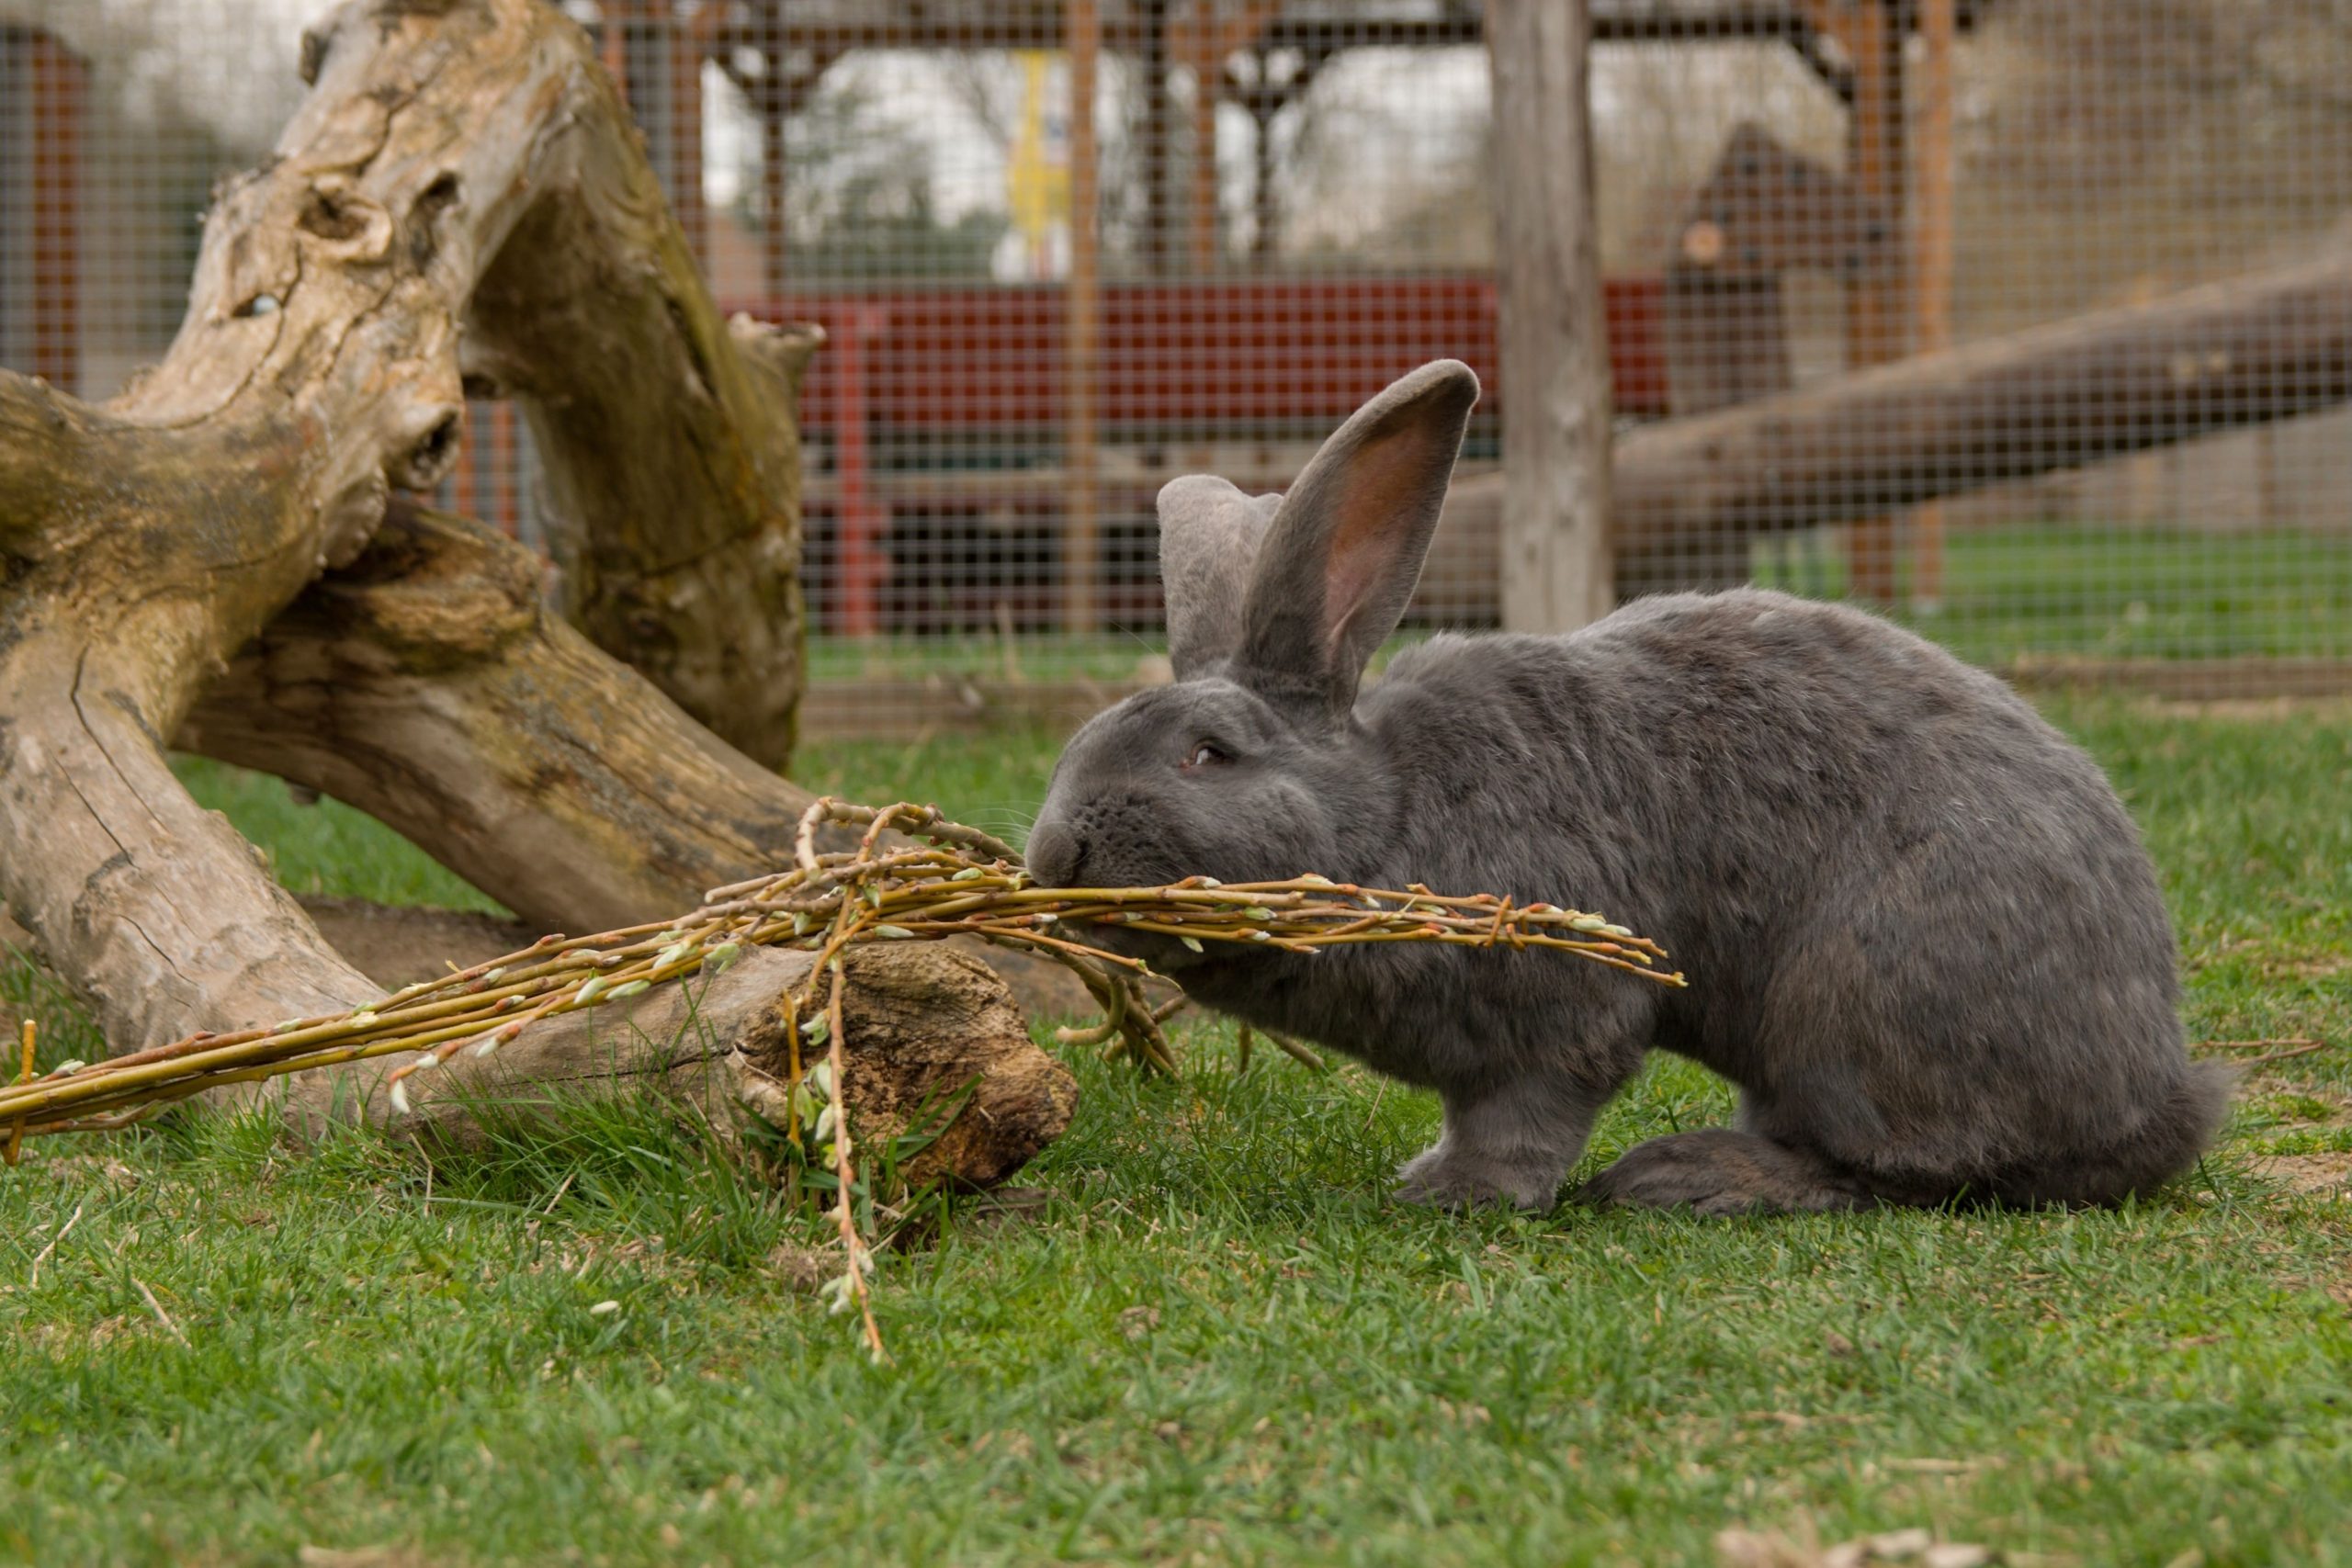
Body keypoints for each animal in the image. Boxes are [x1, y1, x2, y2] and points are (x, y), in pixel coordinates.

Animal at [1025, 364, 2220, 1213]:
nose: (1052, 856)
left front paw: (1453, 1197)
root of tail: (2163, 1091)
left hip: (1856, 1011)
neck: (1383, 816)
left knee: (1905, 1169)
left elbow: (1528, 1115)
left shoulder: (1556, 1011)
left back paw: (1686, 1178)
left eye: (1207, 755)